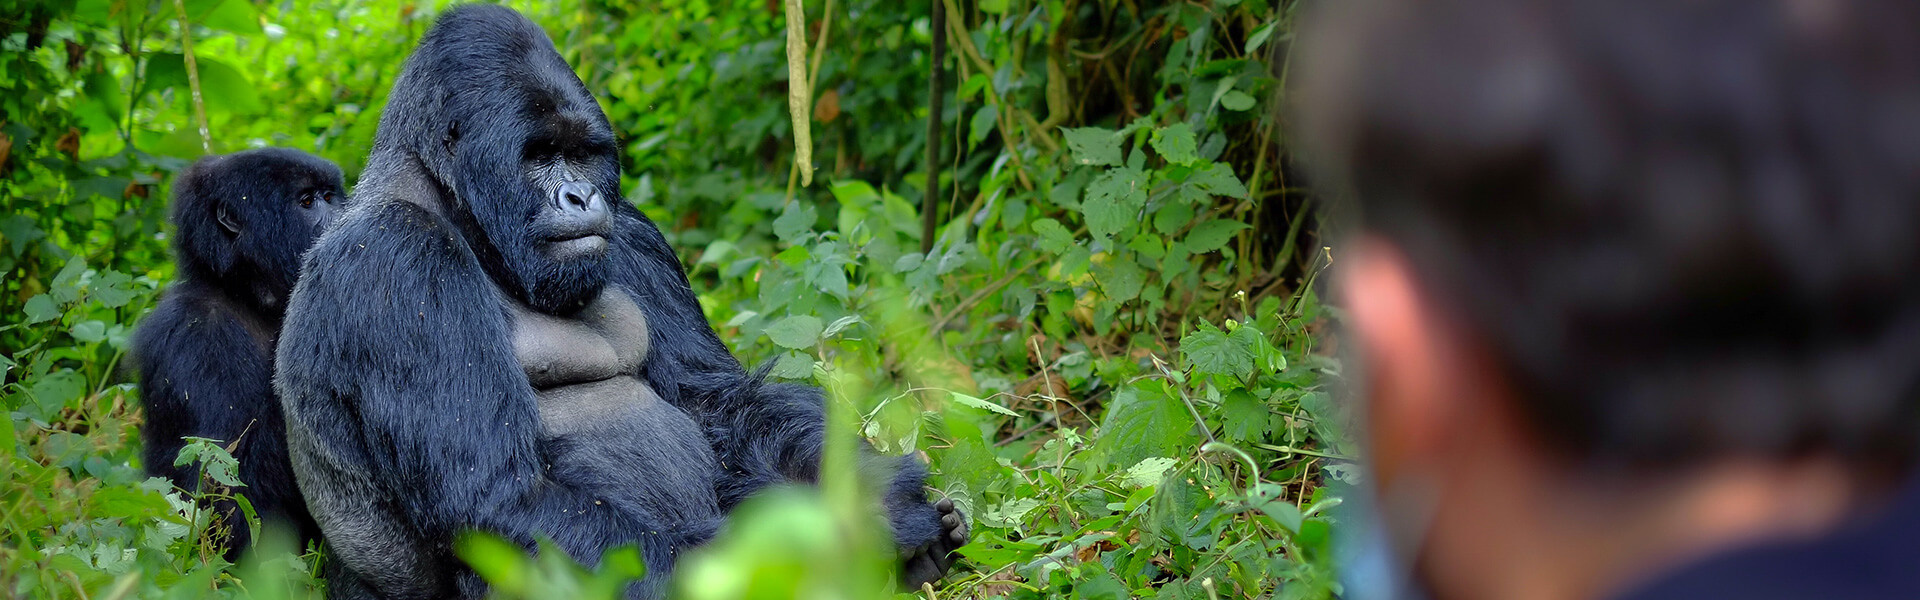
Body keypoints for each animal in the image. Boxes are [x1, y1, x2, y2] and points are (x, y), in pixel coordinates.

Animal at [129, 148, 347, 553]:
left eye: (331, 196)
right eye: (307, 202)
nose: (344, 216)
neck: (244, 292)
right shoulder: (197, 333)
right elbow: (227, 487)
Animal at [270, 4, 960, 596]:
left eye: (581, 154)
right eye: (541, 155)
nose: (581, 197)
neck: (453, 202)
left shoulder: (630, 229)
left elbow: (717, 401)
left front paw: (872, 493)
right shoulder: (396, 260)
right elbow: (502, 499)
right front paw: (855, 537)